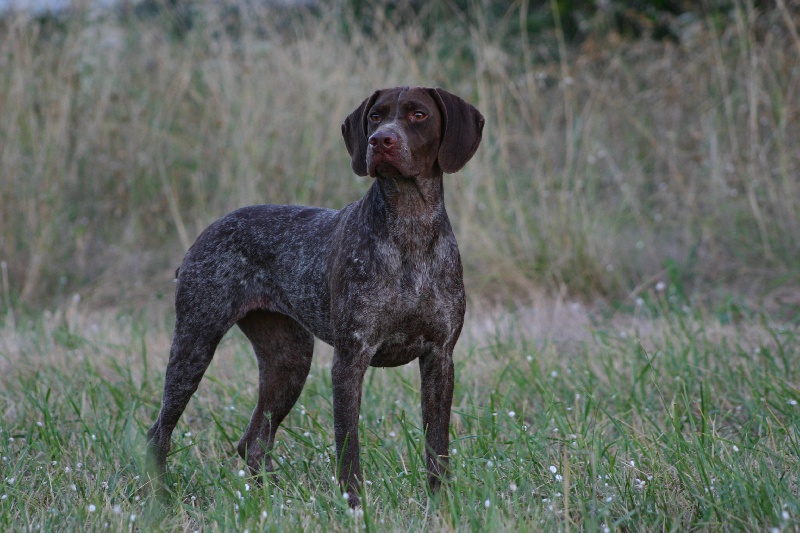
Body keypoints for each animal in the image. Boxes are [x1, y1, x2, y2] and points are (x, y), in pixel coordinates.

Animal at [147, 85, 484, 504]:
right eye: (376, 115)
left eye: (418, 115)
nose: (380, 141)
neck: (411, 227)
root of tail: (204, 235)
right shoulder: (351, 358)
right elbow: (348, 445)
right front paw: (354, 505)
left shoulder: (440, 357)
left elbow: (437, 446)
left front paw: (441, 503)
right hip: (195, 344)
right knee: (160, 432)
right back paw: (160, 499)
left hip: (289, 361)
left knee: (254, 441)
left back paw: (272, 502)